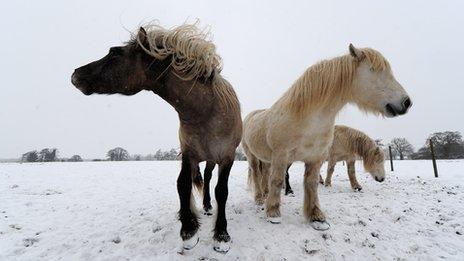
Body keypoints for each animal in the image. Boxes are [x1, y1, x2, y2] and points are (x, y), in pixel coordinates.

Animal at [71, 22, 243, 252]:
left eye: (115, 53)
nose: (76, 74)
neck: (206, 112)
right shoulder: (188, 154)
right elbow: (182, 185)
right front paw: (188, 229)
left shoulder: (227, 157)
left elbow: (221, 191)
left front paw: (221, 235)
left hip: (212, 159)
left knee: (208, 179)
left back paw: (208, 206)